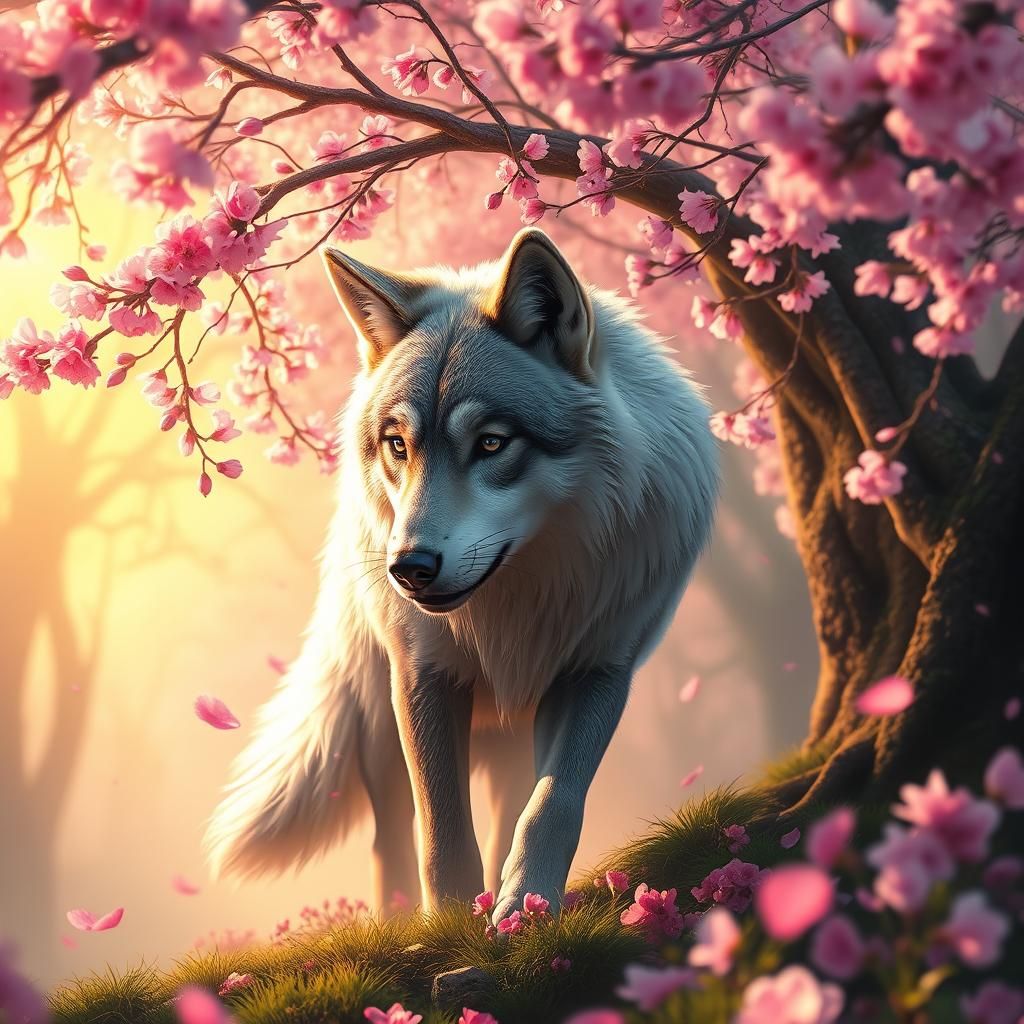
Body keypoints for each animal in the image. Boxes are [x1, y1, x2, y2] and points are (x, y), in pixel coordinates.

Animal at [205, 228, 718, 923]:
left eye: (493, 443)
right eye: (398, 445)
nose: (409, 569)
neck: (526, 597)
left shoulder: (600, 668)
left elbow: (552, 805)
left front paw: (526, 908)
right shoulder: (424, 675)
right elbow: (441, 830)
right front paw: (449, 926)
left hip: (509, 737)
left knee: (507, 807)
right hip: (379, 723)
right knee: (389, 835)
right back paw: (397, 919)